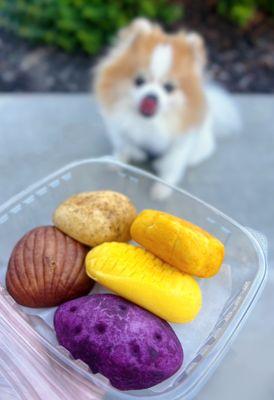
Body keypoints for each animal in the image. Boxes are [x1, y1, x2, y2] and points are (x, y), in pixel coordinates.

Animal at [94, 18, 240, 198]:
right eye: (139, 81)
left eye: (169, 87)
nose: (151, 97)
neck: (148, 123)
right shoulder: (120, 132)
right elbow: (123, 147)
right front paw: (117, 161)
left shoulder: (179, 147)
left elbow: (171, 168)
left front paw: (162, 189)